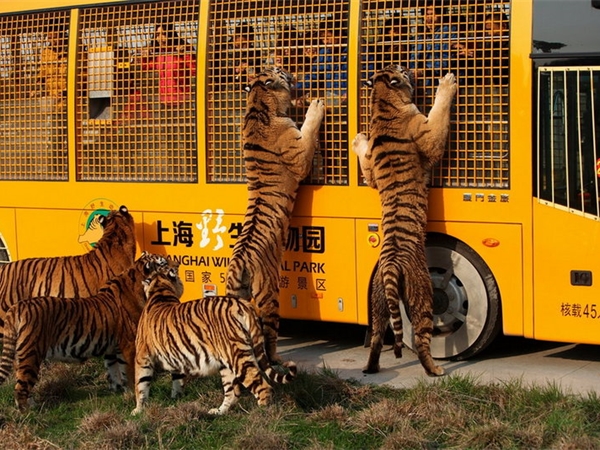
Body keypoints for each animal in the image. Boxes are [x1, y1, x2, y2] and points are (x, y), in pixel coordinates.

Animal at [0, 250, 168, 412]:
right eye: (163, 263)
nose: (171, 263)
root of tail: (17, 307)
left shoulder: (112, 346)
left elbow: (113, 369)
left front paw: (118, 390)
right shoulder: (128, 344)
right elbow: (130, 372)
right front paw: (132, 394)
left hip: (24, 356)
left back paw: (33, 405)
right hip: (31, 354)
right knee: (20, 387)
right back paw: (27, 413)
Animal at [133, 264, 298, 414]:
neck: (160, 290)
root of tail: (243, 304)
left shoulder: (142, 357)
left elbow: (140, 384)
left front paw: (138, 411)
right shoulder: (175, 358)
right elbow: (177, 381)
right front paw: (176, 399)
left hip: (238, 358)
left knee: (263, 387)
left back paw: (261, 413)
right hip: (226, 363)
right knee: (232, 392)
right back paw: (218, 412)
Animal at [226, 67, 328, 364]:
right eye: (279, 70)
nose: (290, 71)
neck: (258, 104)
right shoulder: (300, 153)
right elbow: (308, 130)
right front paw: (315, 105)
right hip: (269, 293)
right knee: (268, 334)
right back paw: (280, 361)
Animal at [352, 66, 454, 376]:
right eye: (400, 70)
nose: (409, 68)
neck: (383, 103)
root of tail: (390, 265)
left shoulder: (372, 172)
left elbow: (366, 161)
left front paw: (358, 139)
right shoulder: (428, 135)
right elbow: (439, 113)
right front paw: (447, 83)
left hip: (378, 300)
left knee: (376, 337)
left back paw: (371, 368)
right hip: (422, 293)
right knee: (421, 338)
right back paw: (435, 370)